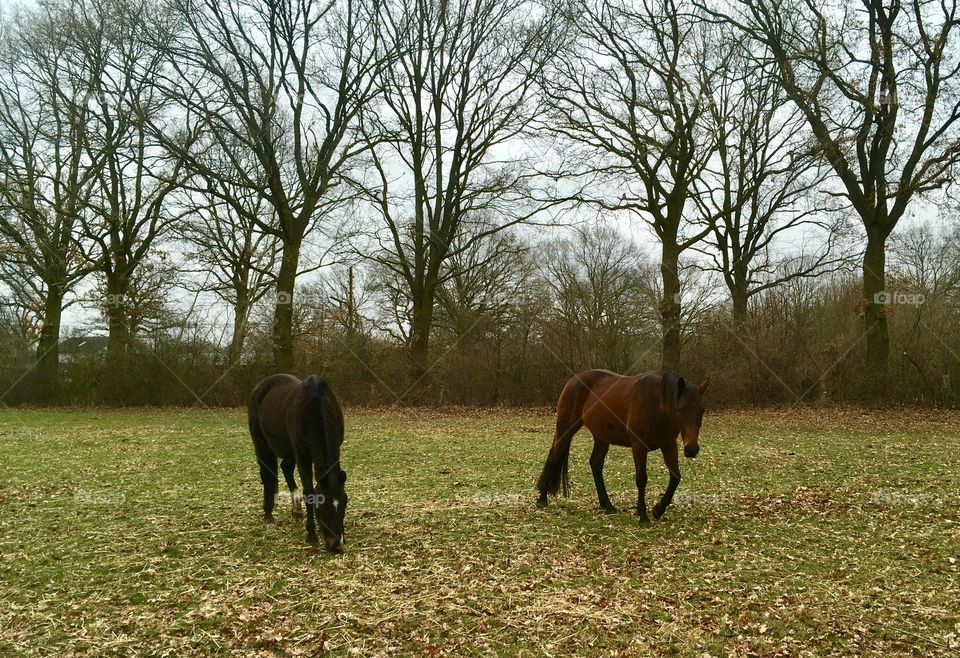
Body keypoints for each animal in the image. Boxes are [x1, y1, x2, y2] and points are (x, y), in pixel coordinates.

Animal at [248, 372, 348, 552]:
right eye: (322, 506)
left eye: (345, 503)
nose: (335, 544)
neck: (314, 409)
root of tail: (260, 387)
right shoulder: (302, 457)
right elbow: (308, 492)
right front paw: (312, 535)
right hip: (262, 446)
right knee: (267, 476)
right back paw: (268, 515)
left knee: (285, 468)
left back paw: (296, 511)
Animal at [536, 368, 708, 524]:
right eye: (681, 409)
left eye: (702, 410)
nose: (692, 449)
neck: (657, 404)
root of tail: (573, 381)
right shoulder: (639, 447)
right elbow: (641, 479)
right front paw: (643, 516)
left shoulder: (669, 445)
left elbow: (675, 477)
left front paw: (658, 510)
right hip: (566, 429)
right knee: (554, 456)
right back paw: (542, 499)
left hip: (601, 438)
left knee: (595, 464)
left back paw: (607, 505)